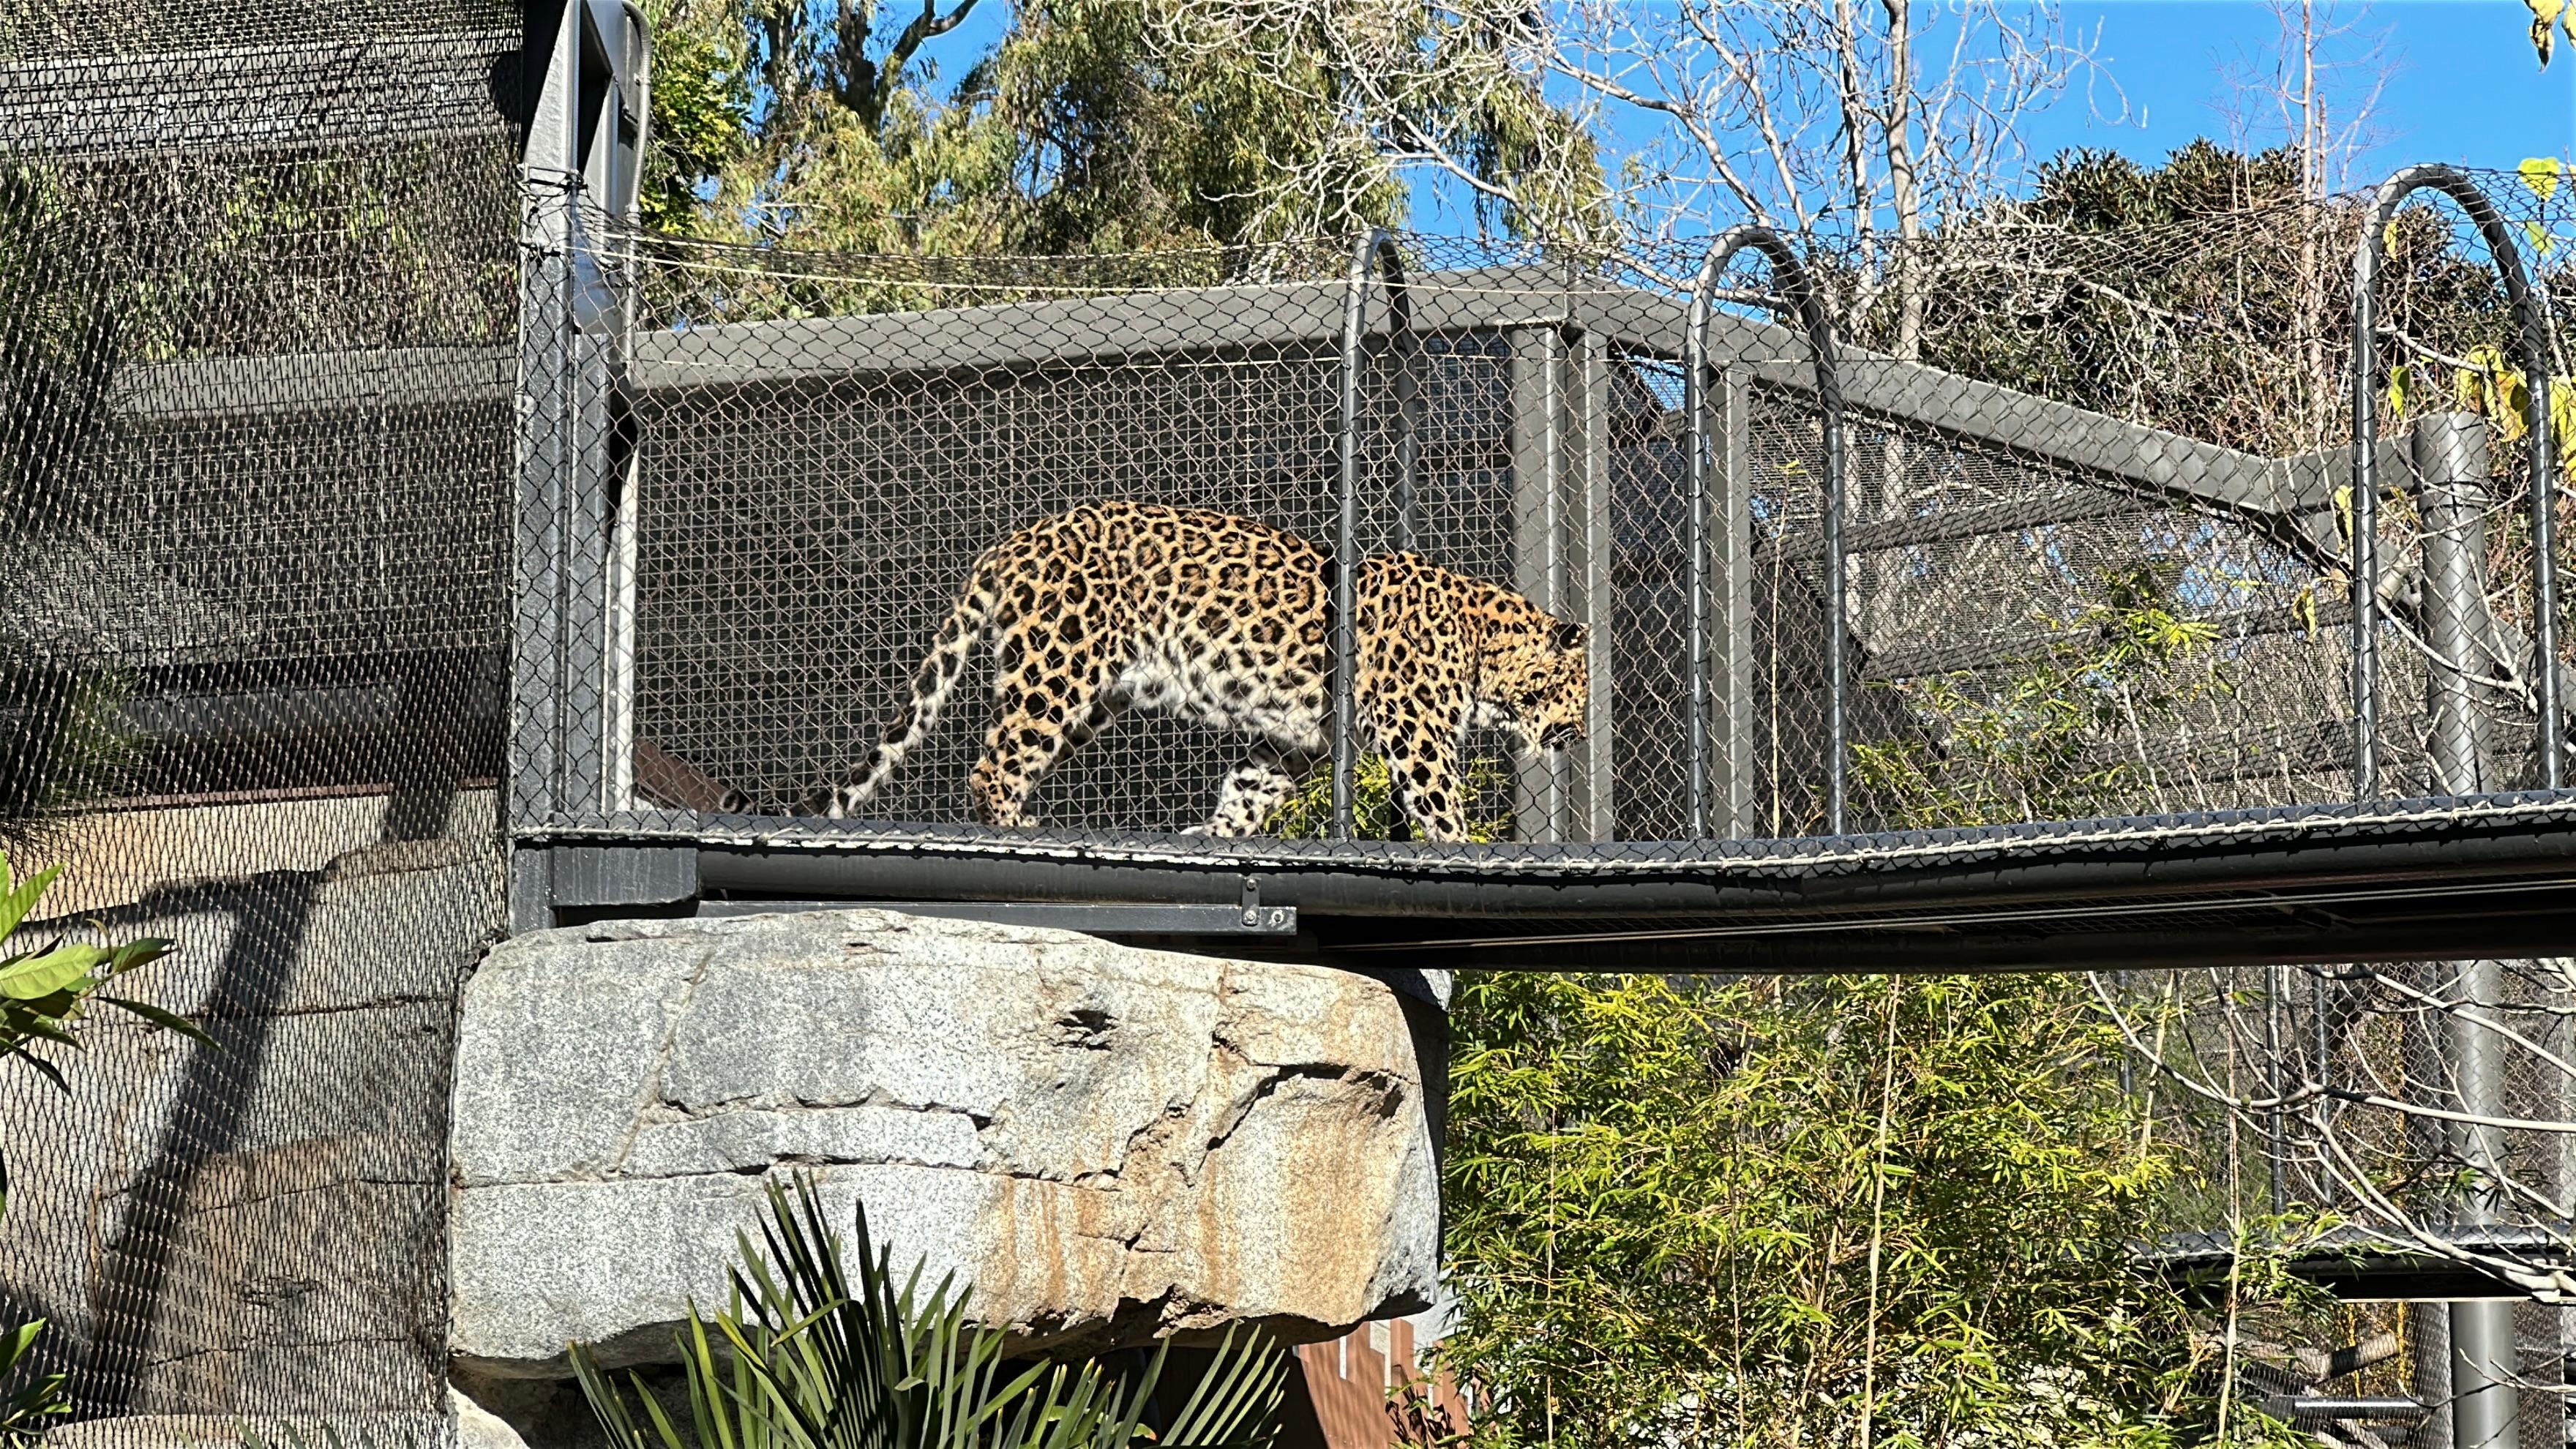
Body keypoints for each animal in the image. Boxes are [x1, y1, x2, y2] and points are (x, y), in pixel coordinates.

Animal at [796, 501, 1590, 842]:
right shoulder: (1414, 726)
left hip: (1093, 692)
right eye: (1573, 692)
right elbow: (1439, 802)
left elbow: (1248, 790)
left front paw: (1215, 834)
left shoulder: (1291, 742)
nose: (1579, 736)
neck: (1484, 646)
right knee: (995, 761)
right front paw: (1461, 848)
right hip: (1062, 663)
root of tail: (1018, 539)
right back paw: (1019, 826)